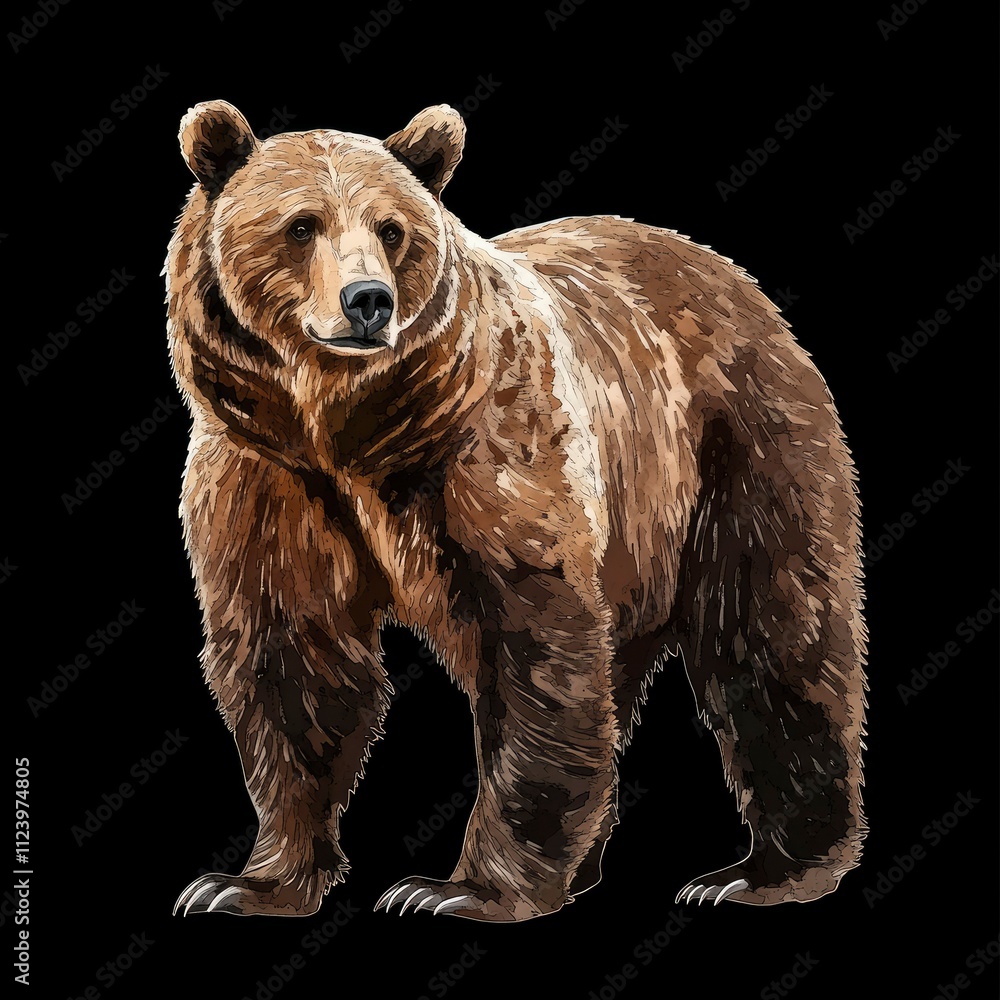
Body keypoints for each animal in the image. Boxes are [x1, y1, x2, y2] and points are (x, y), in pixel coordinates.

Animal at [166, 100, 867, 922]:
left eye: (391, 228)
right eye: (301, 224)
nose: (368, 302)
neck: (348, 425)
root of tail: (730, 275)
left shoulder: (489, 451)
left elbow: (531, 642)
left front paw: (459, 889)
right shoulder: (268, 473)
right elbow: (290, 652)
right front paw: (249, 881)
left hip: (740, 443)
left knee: (773, 626)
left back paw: (764, 872)